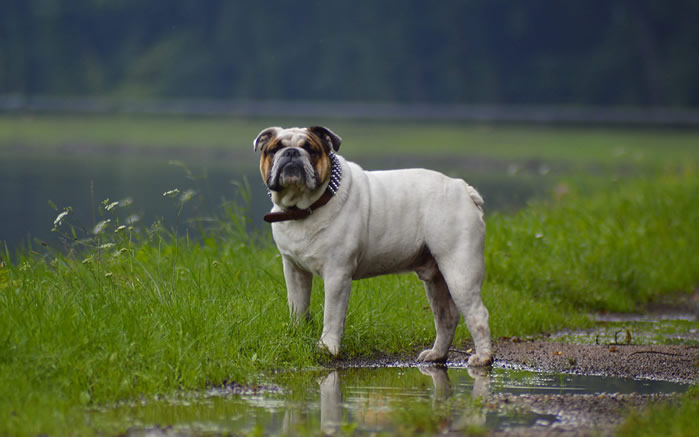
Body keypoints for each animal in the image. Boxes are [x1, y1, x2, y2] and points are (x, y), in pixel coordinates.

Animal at [253, 125, 492, 364]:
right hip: (436, 278)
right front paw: (296, 334)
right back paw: (436, 354)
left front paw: (327, 347)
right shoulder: (294, 271)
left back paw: (483, 358)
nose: (292, 153)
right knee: (446, 316)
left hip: (459, 271)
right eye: (274, 149)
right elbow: (298, 306)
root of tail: (462, 188)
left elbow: (332, 314)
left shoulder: (337, 275)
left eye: (311, 149)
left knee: (478, 314)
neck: (303, 209)